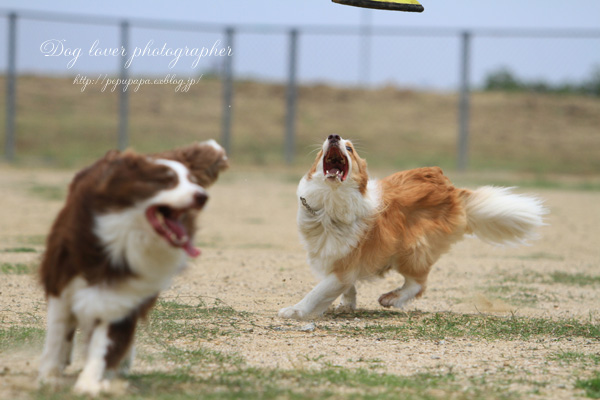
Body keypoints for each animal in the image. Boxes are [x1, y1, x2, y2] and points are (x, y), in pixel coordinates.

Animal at [37, 140, 229, 394]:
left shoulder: (124, 294)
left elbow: (106, 341)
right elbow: (58, 333)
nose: (202, 196)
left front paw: (90, 383)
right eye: (165, 181)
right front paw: (49, 376)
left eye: (192, 180)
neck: (125, 239)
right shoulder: (62, 281)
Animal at [278, 136, 548, 320]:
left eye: (350, 148)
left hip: (412, 248)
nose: (333, 136)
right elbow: (345, 286)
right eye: (325, 145)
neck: (329, 203)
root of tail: (452, 190)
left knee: (418, 283)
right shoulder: (335, 256)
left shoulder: (344, 263)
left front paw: (294, 310)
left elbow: (317, 291)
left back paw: (392, 298)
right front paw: (348, 303)